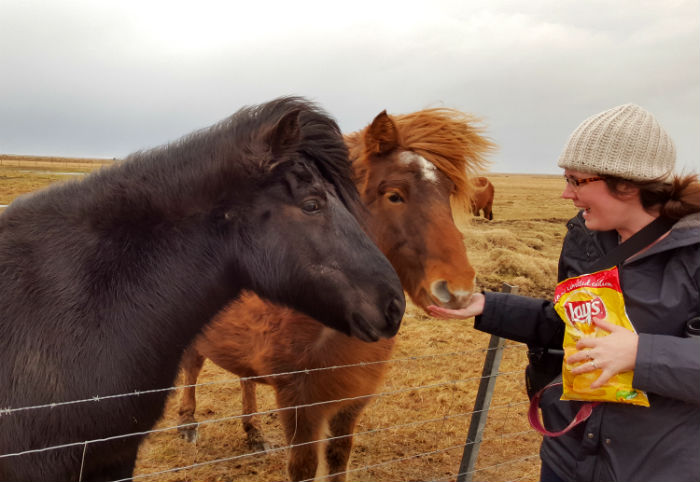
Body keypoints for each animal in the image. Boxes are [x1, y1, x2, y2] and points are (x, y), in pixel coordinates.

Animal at [175, 107, 492, 482]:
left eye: (447, 193)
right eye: (394, 195)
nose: (458, 288)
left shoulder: (351, 402)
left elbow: (339, 458)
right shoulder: (299, 404)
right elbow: (304, 468)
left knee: (245, 379)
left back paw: (253, 433)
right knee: (193, 366)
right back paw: (188, 422)